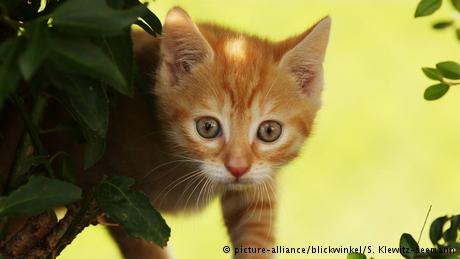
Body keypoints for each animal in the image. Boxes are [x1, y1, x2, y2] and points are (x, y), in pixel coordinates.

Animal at [104, 6, 328, 259]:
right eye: (208, 127)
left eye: (269, 131)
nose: (238, 168)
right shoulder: (113, 194)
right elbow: (140, 243)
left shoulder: (256, 183)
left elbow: (256, 226)